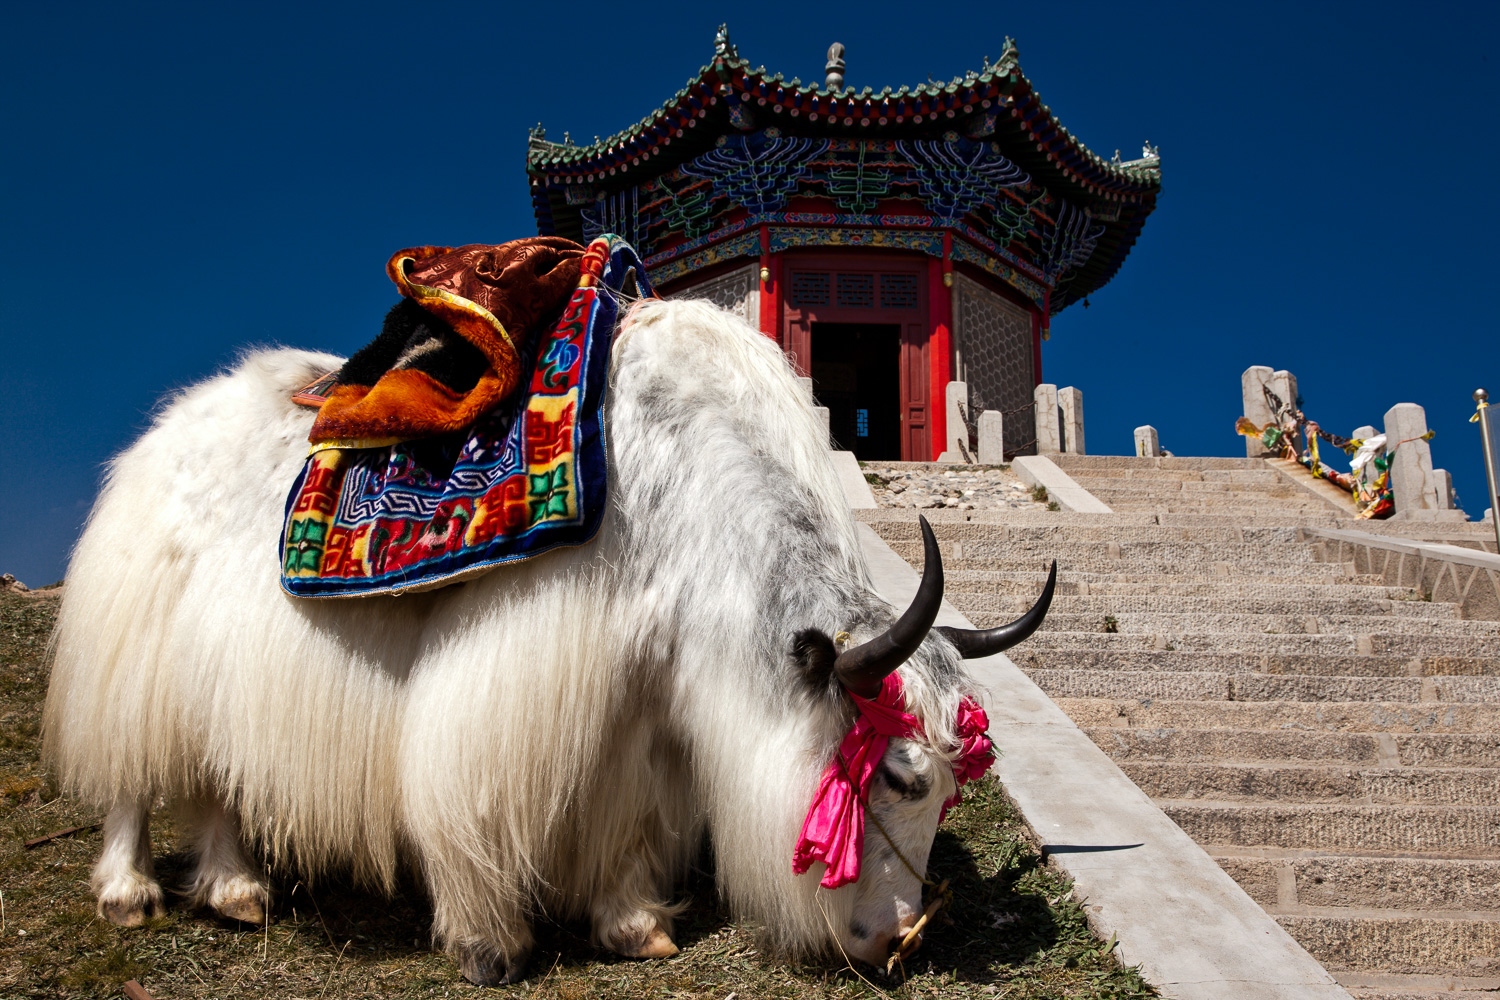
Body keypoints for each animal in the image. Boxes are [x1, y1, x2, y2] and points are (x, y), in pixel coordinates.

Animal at [42, 296, 1051, 984]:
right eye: (901, 778)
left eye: (951, 792)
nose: (897, 941)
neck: (677, 486)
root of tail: (167, 426)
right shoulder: (521, 666)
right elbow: (482, 790)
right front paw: (488, 945)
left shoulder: (647, 690)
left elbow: (630, 808)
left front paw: (636, 925)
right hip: (139, 636)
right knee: (131, 767)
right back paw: (129, 894)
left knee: (215, 775)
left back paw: (236, 891)